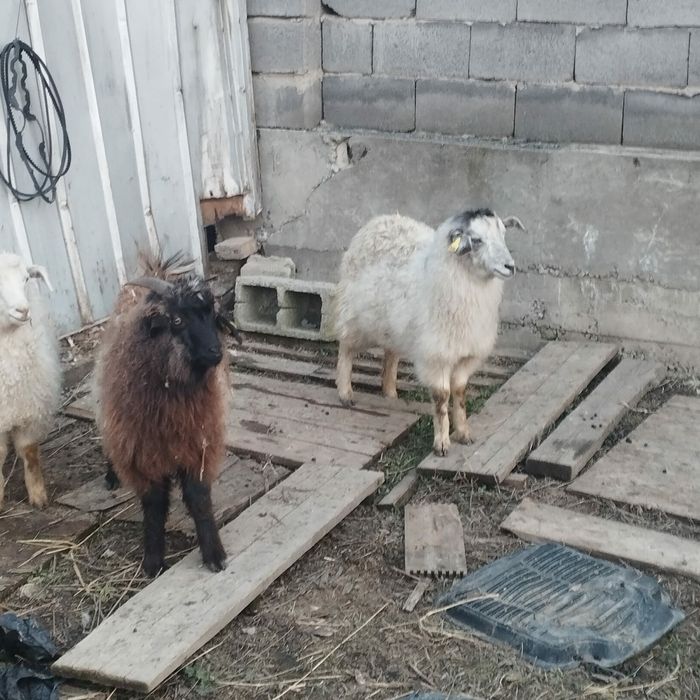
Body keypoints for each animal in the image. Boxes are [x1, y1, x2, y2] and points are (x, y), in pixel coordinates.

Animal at [94, 255, 233, 576]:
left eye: (212, 315)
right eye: (178, 320)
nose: (215, 352)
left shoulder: (198, 443)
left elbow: (199, 499)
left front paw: (214, 554)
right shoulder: (143, 453)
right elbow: (154, 504)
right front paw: (153, 561)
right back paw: (111, 475)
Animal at [334, 209, 524, 456]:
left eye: (503, 234)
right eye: (477, 240)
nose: (510, 267)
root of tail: (381, 219)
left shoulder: (466, 354)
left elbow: (460, 393)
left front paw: (464, 433)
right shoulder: (436, 354)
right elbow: (442, 399)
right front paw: (441, 443)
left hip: (393, 325)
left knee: (391, 353)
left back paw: (390, 392)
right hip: (356, 317)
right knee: (346, 347)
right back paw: (345, 393)